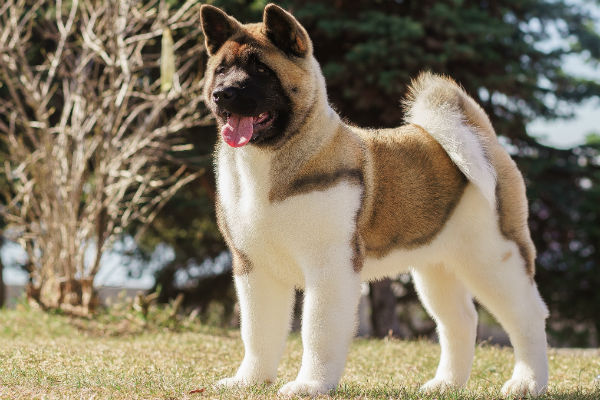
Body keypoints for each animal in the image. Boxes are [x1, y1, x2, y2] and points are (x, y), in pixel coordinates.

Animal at [200, 3, 548, 396]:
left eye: (261, 70)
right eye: (221, 70)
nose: (223, 93)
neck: (271, 160)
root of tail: (483, 137)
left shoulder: (330, 267)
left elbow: (317, 332)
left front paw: (310, 386)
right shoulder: (254, 268)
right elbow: (258, 332)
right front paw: (249, 381)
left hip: (494, 257)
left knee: (527, 316)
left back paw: (527, 383)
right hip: (436, 266)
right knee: (460, 319)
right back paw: (445, 384)